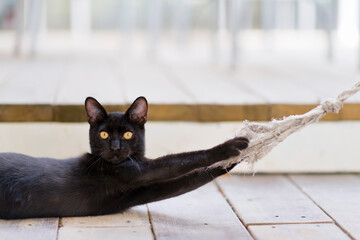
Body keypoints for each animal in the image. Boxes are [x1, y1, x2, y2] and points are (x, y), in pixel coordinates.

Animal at [0, 96, 248, 218]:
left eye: (128, 133)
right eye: (104, 134)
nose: (116, 147)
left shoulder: (145, 190)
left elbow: (193, 178)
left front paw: (241, 157)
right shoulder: (140, 171)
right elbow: (185, 158)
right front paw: (232, 146)